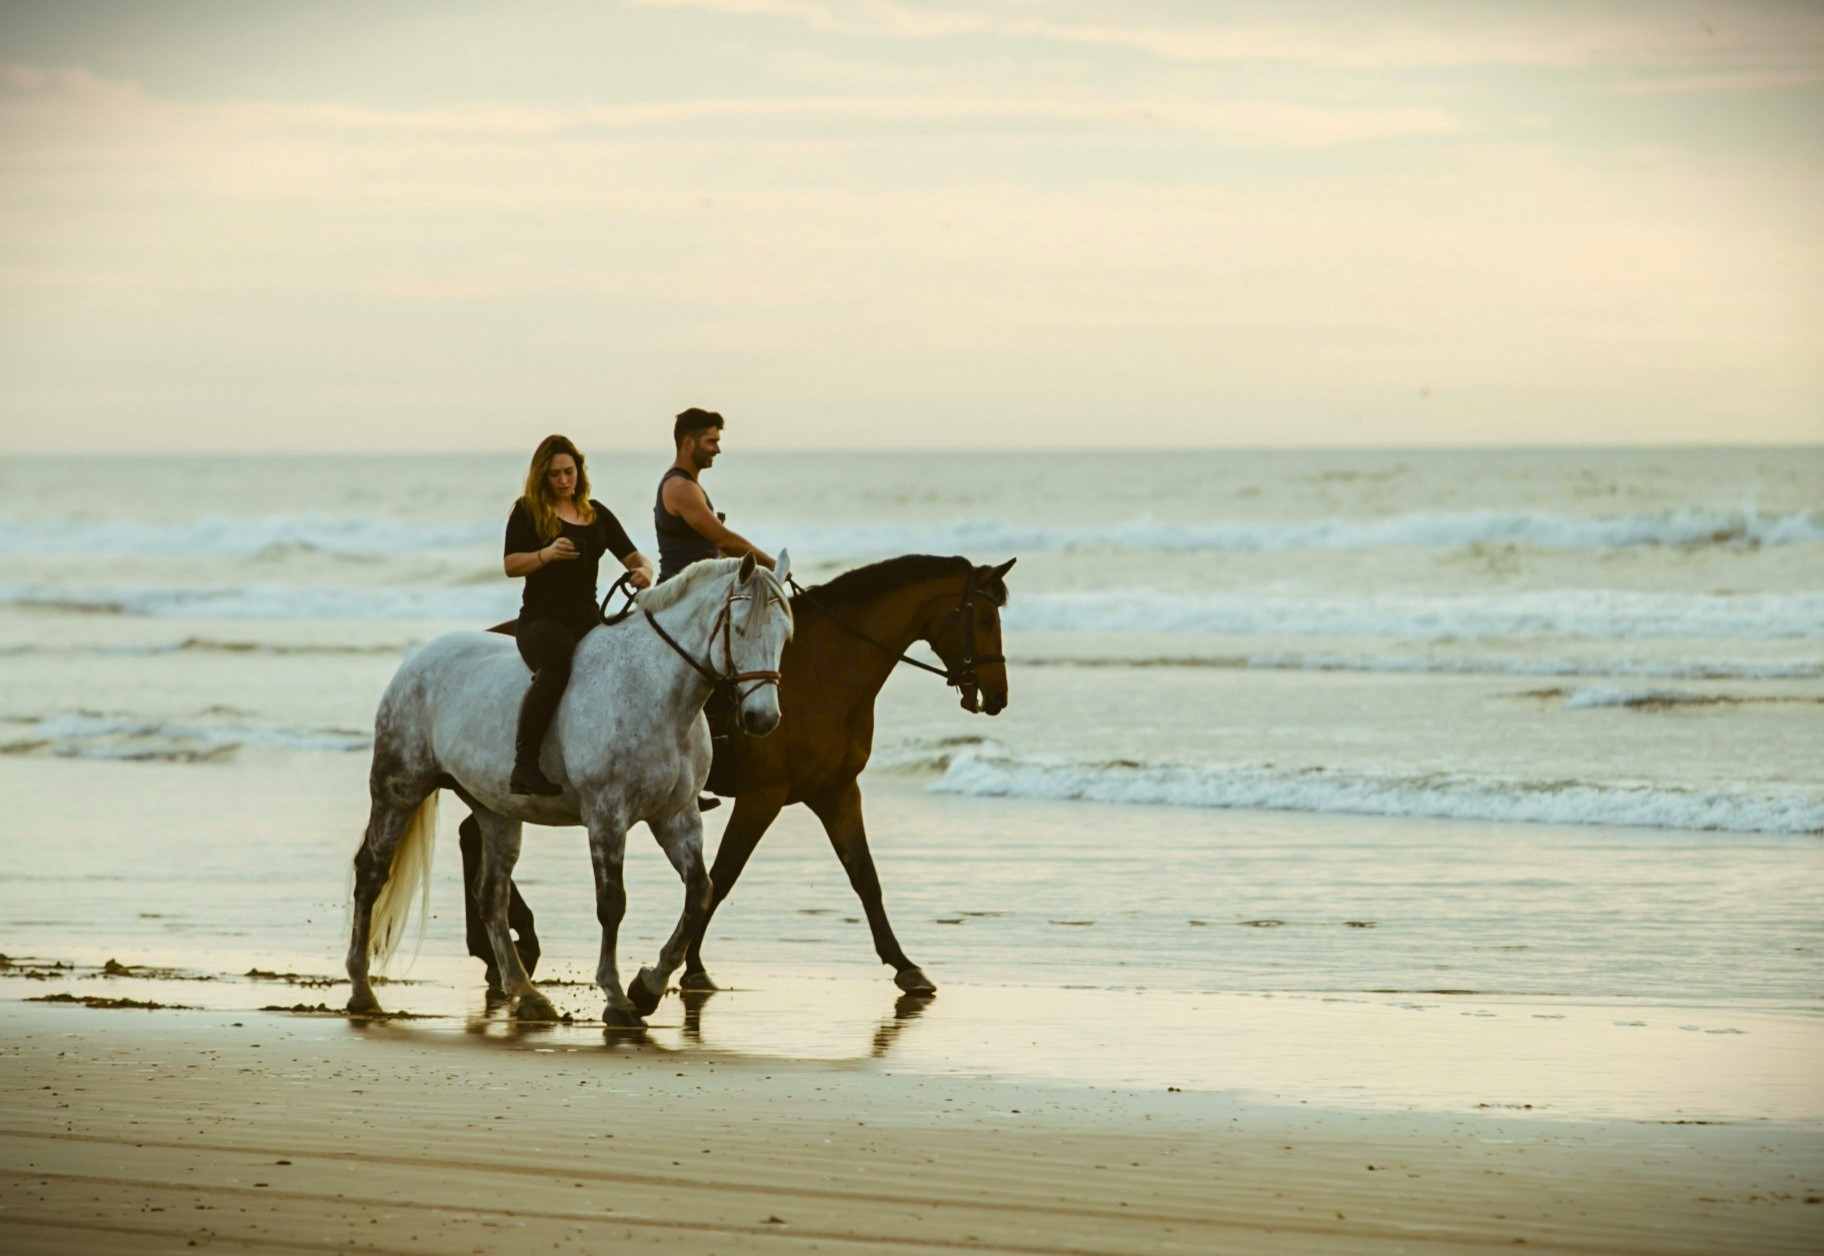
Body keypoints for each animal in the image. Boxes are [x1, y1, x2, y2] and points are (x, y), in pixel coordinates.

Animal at [344, 552, 795, 1026]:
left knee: (491, 896)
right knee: (371, 874)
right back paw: (362, 991)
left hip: (495, 810)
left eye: (785, 635)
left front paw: (648, 987)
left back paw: (527, 993)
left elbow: (699, 893)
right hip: (399, 788)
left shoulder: (676, 816)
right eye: (739, 629)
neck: (655, 691)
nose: (763, 718)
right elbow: (612, 903)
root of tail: (415, 662)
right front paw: (617, 997)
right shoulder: (607, 815)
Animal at [456, 553, 1014, 999]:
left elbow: (865, 878)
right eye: (986, 617)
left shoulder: (836, 791)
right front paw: (687, 968)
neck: (826, 669)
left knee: (470, 835)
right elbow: (722, 877)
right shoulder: (763, 796)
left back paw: (502, 948)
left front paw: (905, 966)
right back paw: (506, 947)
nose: (997, 694)